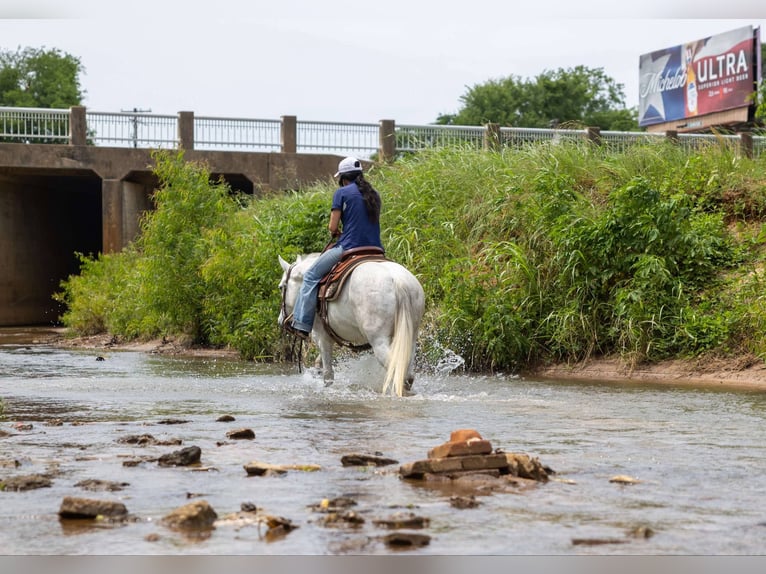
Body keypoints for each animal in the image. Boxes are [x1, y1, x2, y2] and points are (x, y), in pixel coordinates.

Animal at [278, 252, 425, 397]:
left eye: (281, 287)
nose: (280, 320)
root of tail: (398, 281)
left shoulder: (322, 336)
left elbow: (328, 374)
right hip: (409, 340)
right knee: (408, 375)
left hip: (379, 342)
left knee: (398, 372)